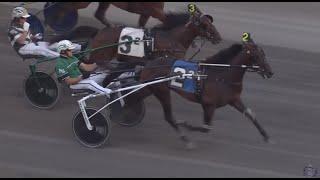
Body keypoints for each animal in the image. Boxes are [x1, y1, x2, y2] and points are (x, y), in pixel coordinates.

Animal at [126, 33, 274, 148]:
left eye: (264, 54)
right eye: (257, 55)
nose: (270, 72)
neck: (222, 75)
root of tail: (148, 64)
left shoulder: (234, 99)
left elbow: (250, 114)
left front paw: (266, 136)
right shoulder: (208, 104)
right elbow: (205, 128)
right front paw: (186, 124)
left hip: (150, 88)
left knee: (133, 98)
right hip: (162, 91)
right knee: (168, 116)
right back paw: (186, 139)